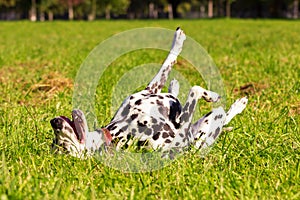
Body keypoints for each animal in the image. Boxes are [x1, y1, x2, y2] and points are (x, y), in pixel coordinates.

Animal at [50, 27, 248, 159]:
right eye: (62, 147)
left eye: (57, 143)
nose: (54, 122)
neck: (116, 132)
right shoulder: (180, 132)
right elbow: (194, 88)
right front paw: (211, 95)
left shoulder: (149, 91)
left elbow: (166, 66)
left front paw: (177, 39)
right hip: (202, 134)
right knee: (220, 116)